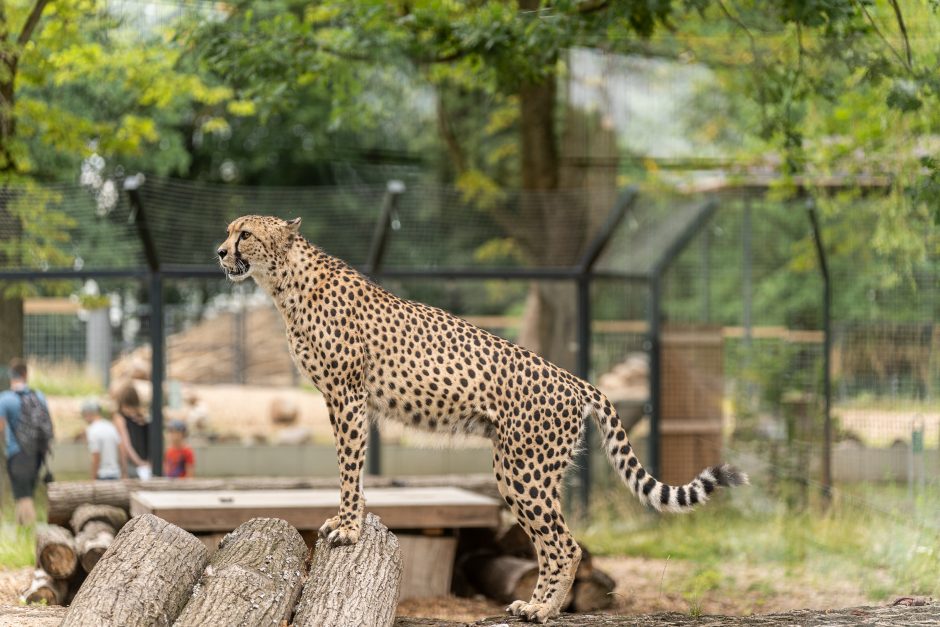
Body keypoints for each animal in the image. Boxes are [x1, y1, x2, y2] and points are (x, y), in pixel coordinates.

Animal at [217, 215, 744, 624]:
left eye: (245, 233)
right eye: (228, 232)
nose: (220, 252)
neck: (284, 282)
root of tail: (577, 381)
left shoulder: (347, 396)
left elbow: (350, 465)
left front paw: (347, 526)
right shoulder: (340, 398)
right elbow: (354, 465)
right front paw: (351, 519)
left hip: (522, 470)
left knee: (565, 544)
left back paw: (544, 610)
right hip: (532, 473)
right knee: (552, 542)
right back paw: (534, 605)